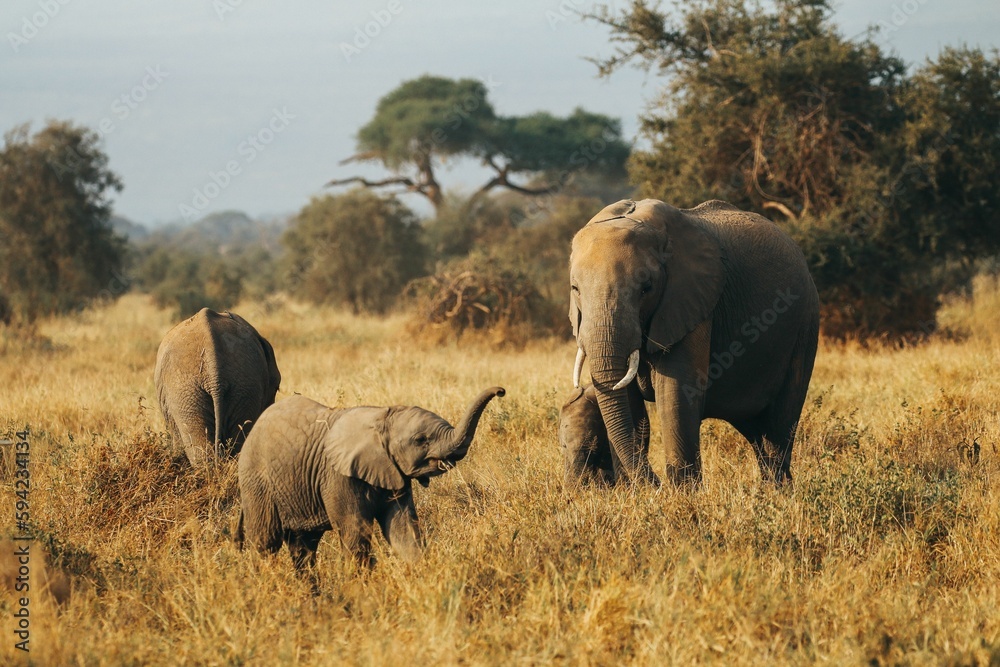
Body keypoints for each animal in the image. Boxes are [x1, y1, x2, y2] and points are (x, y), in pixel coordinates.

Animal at [236, 386, 508, 568]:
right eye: (420, 440)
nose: (501, 391)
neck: (380, 417)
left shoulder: (392, 471)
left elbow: (403, 531)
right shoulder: (337, 476)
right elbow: (356, 534)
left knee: (303, 547)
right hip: (256, 480)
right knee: (265, 543)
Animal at [572, 198, 820, 486]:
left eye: (646, 288)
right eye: (575, 289)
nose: (657, 483)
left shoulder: (692, 302)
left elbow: (675, 395)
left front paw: (682, 493)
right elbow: (628, 401)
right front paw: (632, 491)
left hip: (805, 325)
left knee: (778, 427)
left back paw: (777, 492)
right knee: (758, 432)